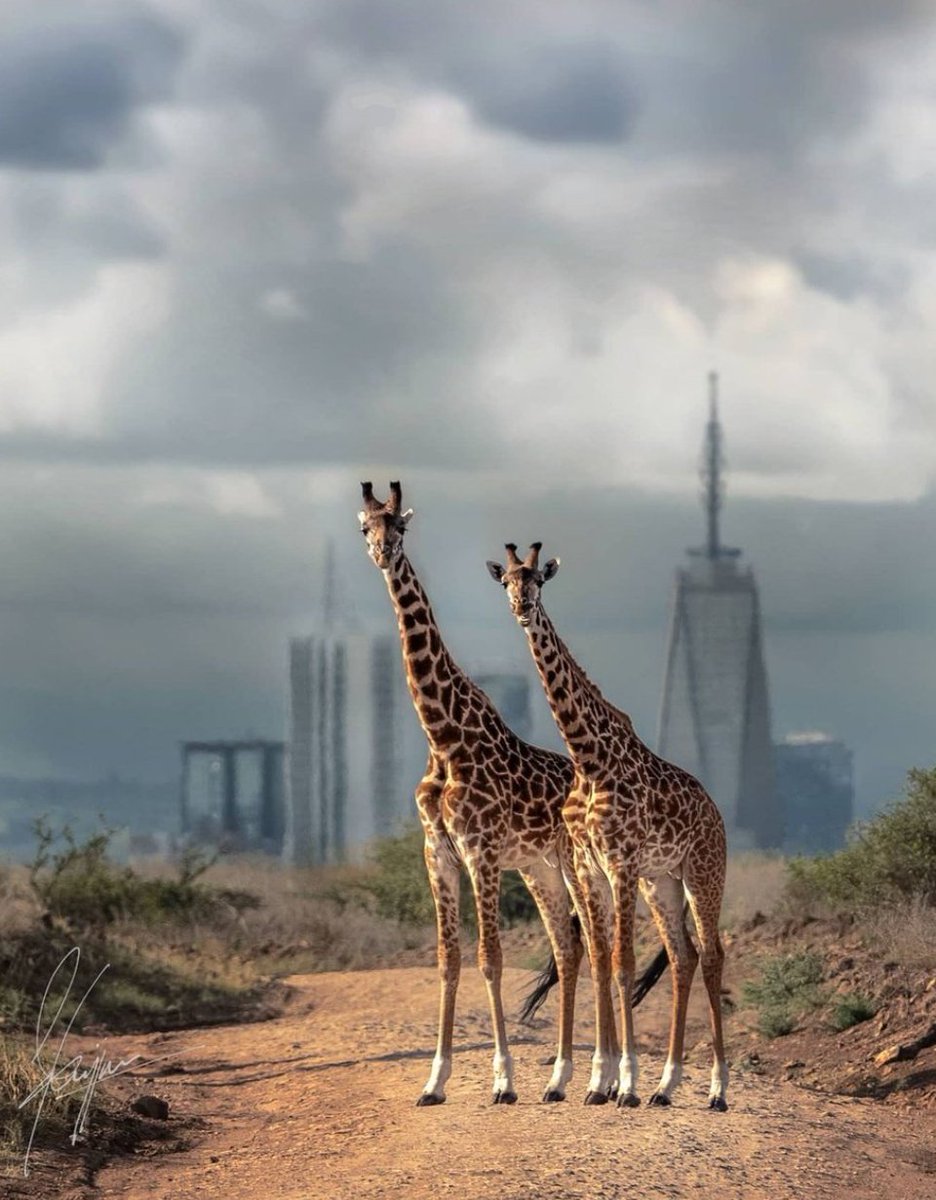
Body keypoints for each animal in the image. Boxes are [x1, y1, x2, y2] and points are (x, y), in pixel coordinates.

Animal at [358, 482, 585, 1106]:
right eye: (364, 526)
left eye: (401, 527)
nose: (383, 553)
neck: (443, 736)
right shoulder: (437, 851)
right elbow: (448, 960)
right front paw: (434, 1081)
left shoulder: (480, 849)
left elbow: (489, 957)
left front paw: (504, 1080)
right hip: (538, 868)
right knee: (569, 947)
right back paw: (562, 1077)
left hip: (574, 865)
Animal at [487, 542, 729, 1111]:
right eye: (506, 580)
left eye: (538, 579)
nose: (522, 608)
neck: (588, 757)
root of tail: (718, 816)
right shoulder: (590, 865)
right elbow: (599, 958)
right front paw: (600, 1082)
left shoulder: (621, 862)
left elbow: (621, 961)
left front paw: (624, 1085)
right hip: (663, 881)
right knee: (683, 956)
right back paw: (666, 1086)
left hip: (703, 874)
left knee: (712, 955)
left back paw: (717, 1091)